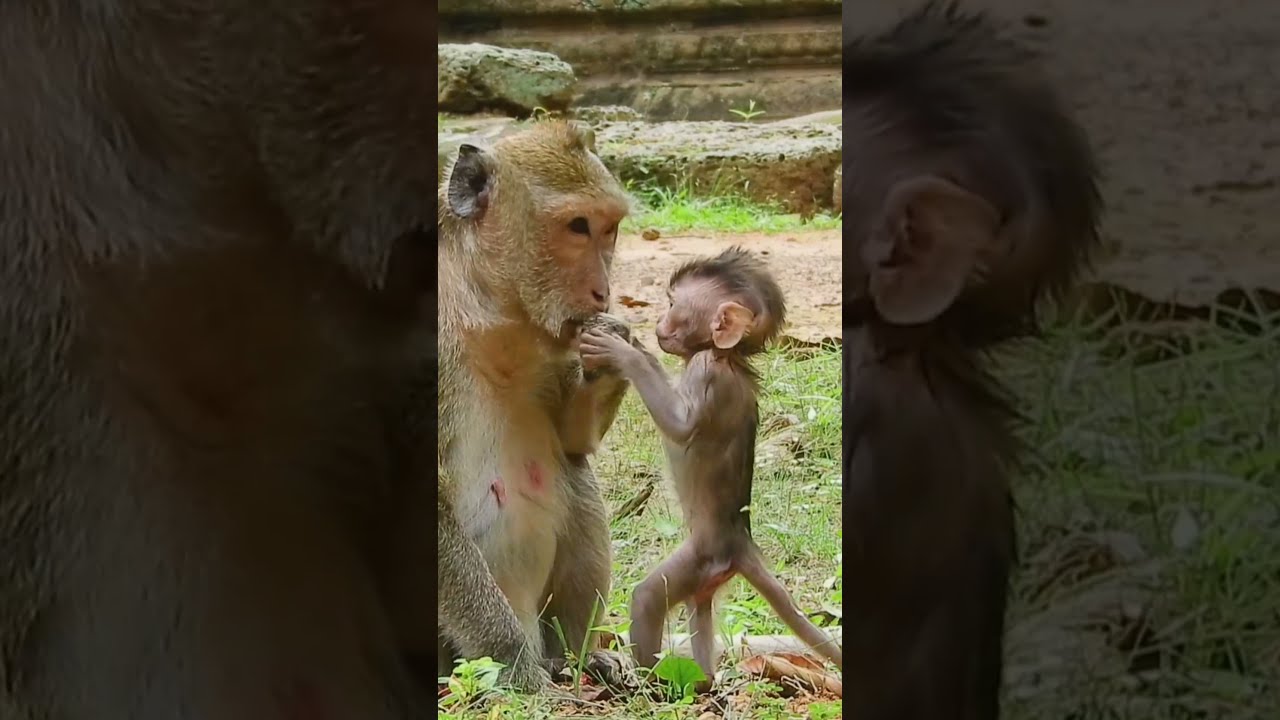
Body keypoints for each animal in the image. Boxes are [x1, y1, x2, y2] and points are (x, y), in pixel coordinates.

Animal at [436, 120, 637, 689]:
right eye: (576, 227)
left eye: (609, 229)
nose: (603, 292)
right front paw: (516, 671)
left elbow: (574, 439)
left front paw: (611, 344)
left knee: (575, 469)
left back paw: (579, 654)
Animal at [579, 246, 843, 692]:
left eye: (672, 304)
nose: (658, 322)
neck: (728, 356)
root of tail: (740, 542)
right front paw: (631, 340)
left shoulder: (706, 371)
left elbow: (680, 425)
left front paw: (624, 353)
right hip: (706, 579)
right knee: (699, 609)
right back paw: (702, 682)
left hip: (700, 559)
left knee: (648, 597)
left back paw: (649, 683)